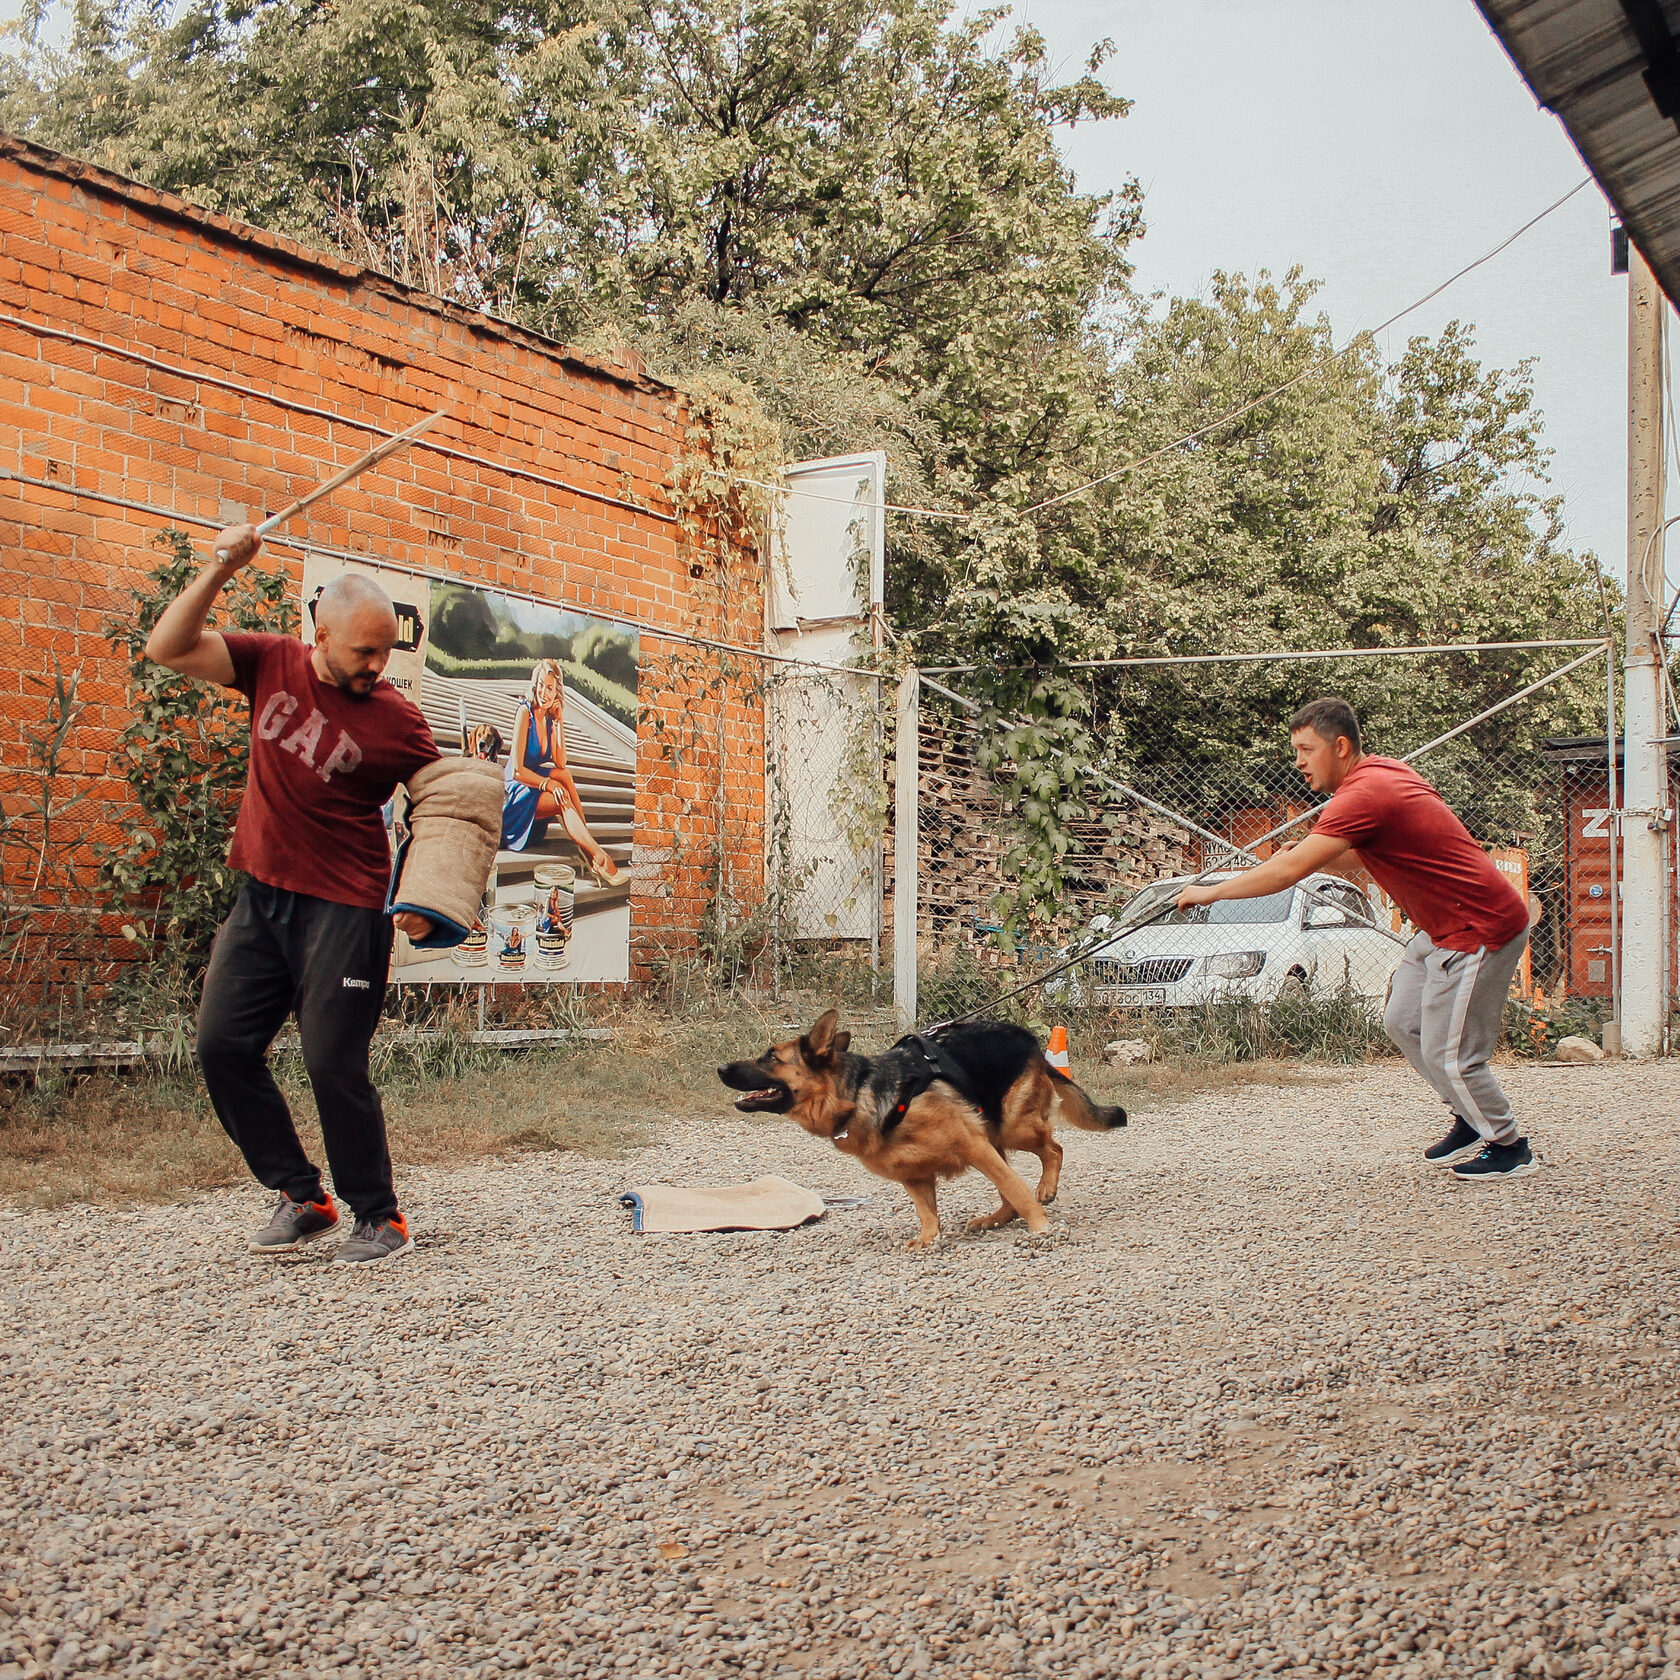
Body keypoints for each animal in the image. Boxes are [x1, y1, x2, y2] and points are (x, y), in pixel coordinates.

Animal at [715, 1007, 1122, 1249]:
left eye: (771, 1057)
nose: (720, 1068)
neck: (857, 1092)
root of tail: (1029, 1041)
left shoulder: (972, 1145)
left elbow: (1017, 1190)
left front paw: (1042, 1227)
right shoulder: (911, 1171)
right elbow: (927, 1210)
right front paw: (928, 1240)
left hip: (1011, 1128)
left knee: (1052, 1151)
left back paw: (1045, 1189)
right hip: (995, 1135)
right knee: (1012, 1185)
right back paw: (994, 1219)